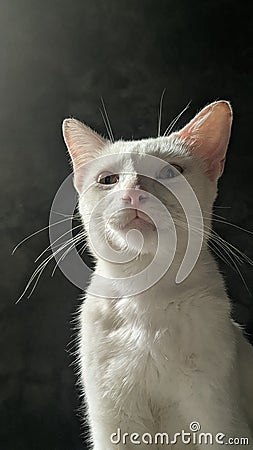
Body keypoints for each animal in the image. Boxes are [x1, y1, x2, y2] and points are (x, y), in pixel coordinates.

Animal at [61, 102, 253, 450]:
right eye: (108, 179)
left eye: (169, 172)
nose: (134, 193)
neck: (144, 297)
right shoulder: (114, 425)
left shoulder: (220, 422)